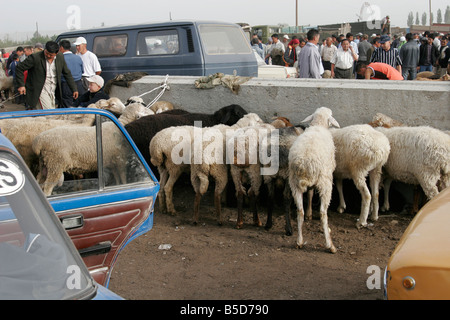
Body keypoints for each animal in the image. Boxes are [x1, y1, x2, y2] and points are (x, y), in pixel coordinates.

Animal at [290, 109, 340, 254]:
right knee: (323, 213)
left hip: (294, 183)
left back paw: (299, 242)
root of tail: (304, 164)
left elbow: (310, 194)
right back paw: (330, 245)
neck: (318, 125)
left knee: (299, 211)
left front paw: (309, 214)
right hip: (325, 183)